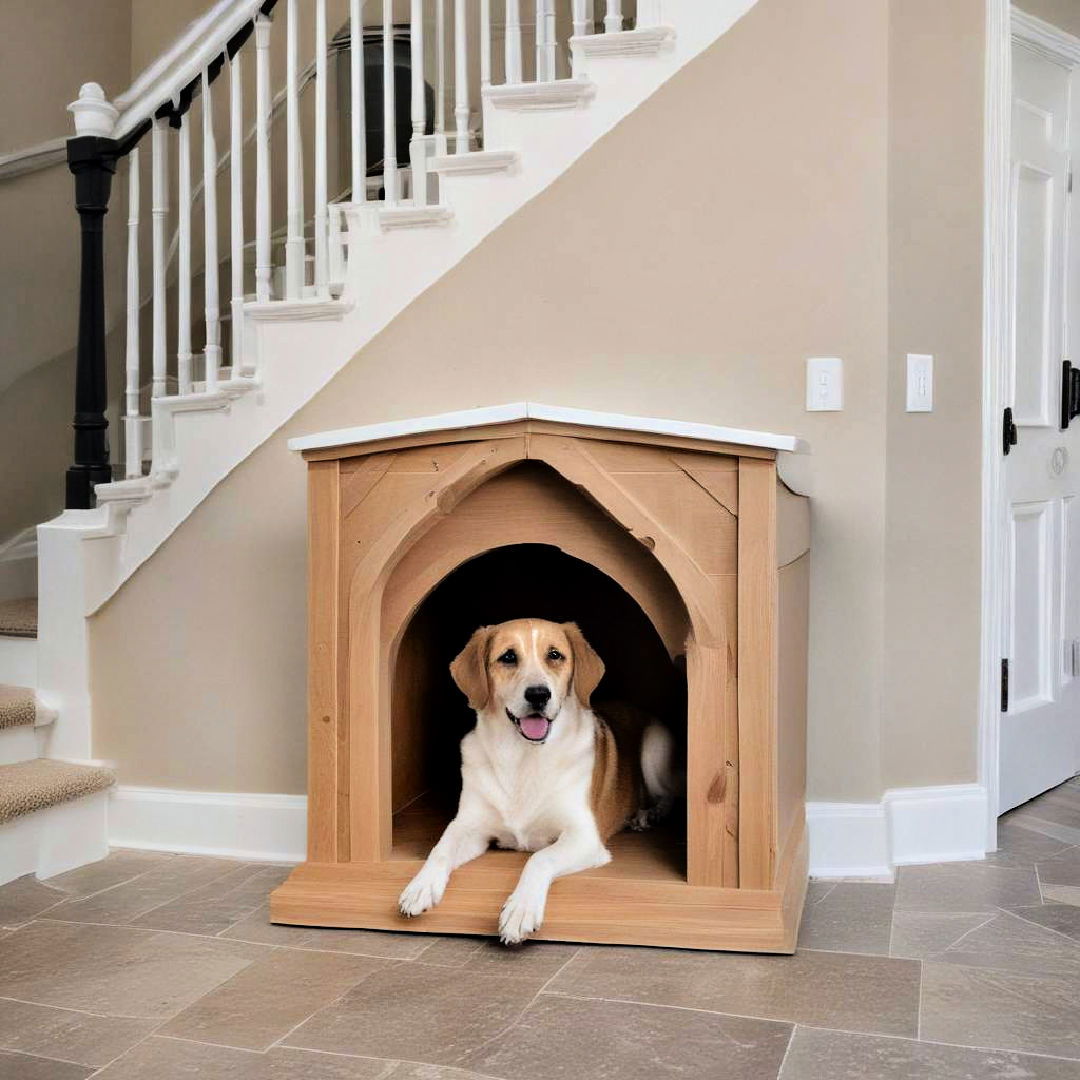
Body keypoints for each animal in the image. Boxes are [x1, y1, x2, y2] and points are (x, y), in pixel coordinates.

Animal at [401, 622, 678, 941]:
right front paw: (420, 886)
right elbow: (440, 848)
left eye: (555, 655)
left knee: (671, 794)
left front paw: (520, 910)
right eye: (508, 657)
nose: (538, 694)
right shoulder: (469, 826)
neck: (522, 758)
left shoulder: (584, 836)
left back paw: (648, 815)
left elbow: (539, 858)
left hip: (653, 750)